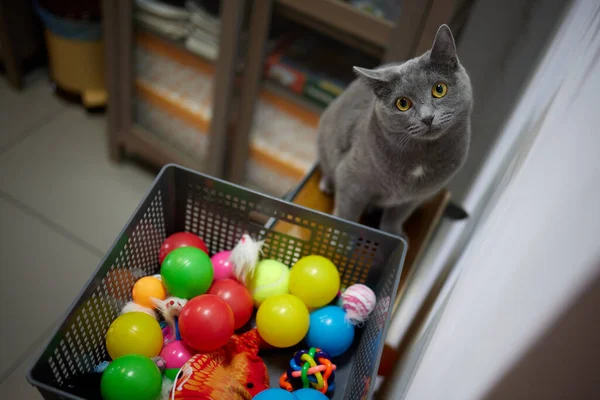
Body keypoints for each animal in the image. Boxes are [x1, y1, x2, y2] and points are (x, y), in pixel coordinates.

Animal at [316, 25, 472, 236]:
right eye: (403, 103)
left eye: (439, 89)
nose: (427, 117)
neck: (420, 159)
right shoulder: (351, 179)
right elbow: (346, 213)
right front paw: (339, 237)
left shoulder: (413, 198)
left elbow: (395, 216)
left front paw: (394, 234)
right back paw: (326, 185)